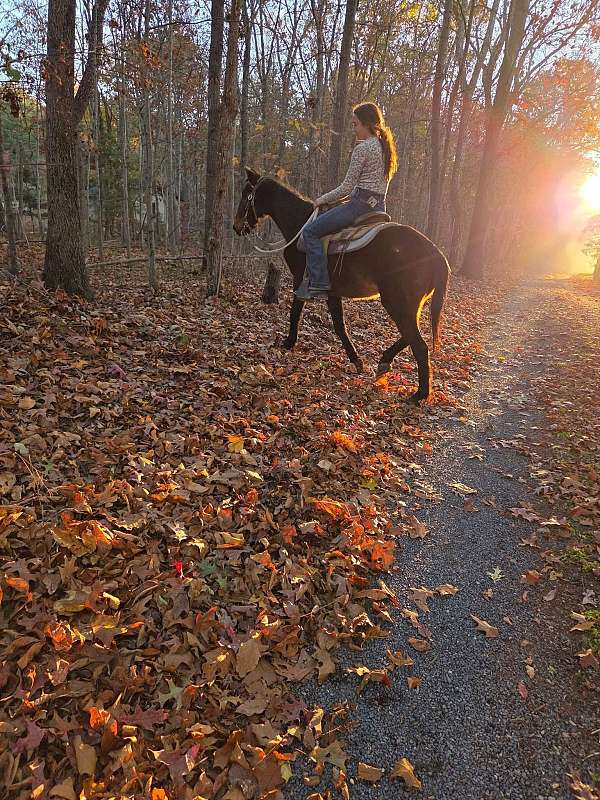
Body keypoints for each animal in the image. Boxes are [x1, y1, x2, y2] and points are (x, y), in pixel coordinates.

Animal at [233, 167, 450, 403]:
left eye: (246, 193)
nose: (236, 226)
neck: (300, 225)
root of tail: (436, 252)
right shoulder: (332, 291)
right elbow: (339, 325)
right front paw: (356, 360)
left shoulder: (301, 279)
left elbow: (296, 312)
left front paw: (288, 342)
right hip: (409, 304)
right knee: (412, 335)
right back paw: (385, 361)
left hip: (396, 301)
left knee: (419, 344)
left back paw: (420, 394)